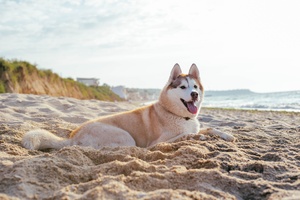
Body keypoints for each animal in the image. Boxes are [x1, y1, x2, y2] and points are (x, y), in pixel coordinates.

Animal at [22, 64, 234, 150]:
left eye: (195, 87)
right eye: (183, 87)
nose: (194, 95)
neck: (178, 115)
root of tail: (72, 137)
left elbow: (210, 128)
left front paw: (227, 135)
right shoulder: (157, 142)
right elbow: (187, 134)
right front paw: (199, 137)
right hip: (126, 137)